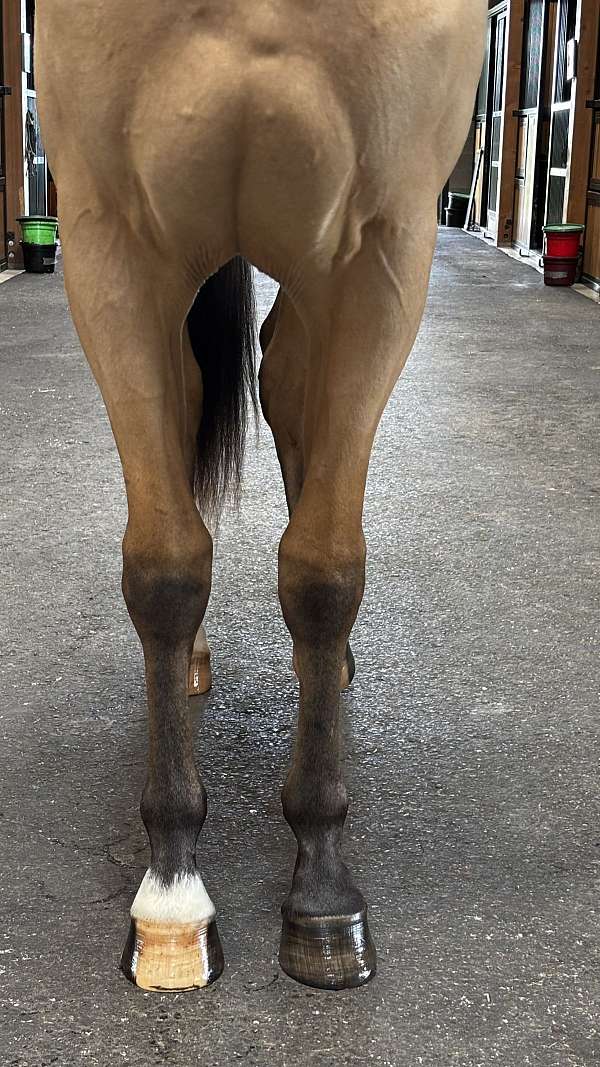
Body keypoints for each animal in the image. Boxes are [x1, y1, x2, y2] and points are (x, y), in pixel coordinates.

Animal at [36, 0, 486, 993]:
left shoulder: (380, 253)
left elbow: (322, 572)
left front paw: (321, 890)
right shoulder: (112, 246)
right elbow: (164, 568)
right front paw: (171, 894)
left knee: (285, 390)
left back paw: (333, 666)